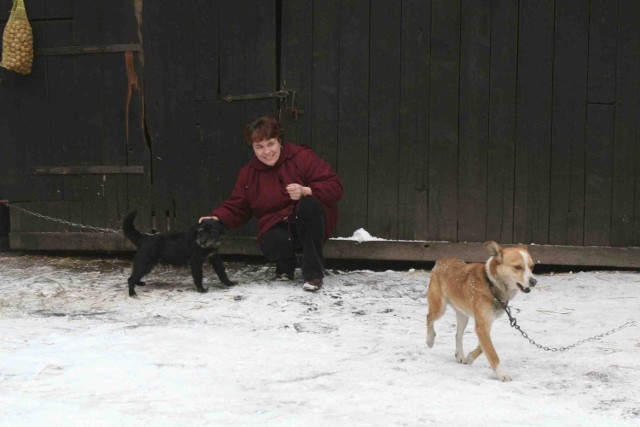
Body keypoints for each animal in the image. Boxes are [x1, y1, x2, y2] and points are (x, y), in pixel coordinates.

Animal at [428, 239, 536, 382]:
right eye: (517, 267)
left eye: (532, 267)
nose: (534, 281)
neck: (491, 285)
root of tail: (441, 261)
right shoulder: (482, 326)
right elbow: (492, 352)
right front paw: (501, 374)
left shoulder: (486, 324)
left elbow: (483, 347)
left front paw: (470, 357)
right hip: (439, 308)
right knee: (429, 317)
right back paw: (430, 340)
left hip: (463, 316)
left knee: (458, 335)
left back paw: (460, 355)